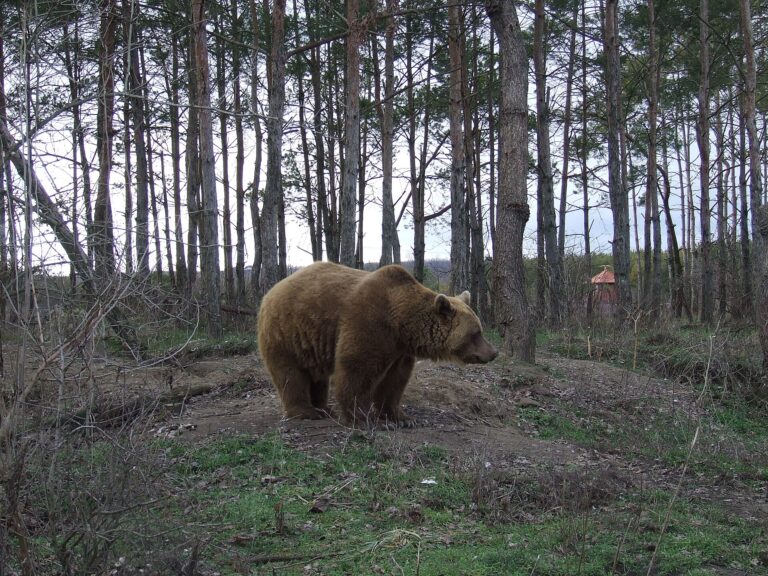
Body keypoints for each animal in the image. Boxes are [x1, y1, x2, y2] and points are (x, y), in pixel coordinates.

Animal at [257, 262, 498, 427]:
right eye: (476, 332)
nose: (494, 352)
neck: (402, 324)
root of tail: (272, 290)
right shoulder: (370, 324)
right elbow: (357, 370)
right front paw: (362, 417)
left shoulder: (400, 350)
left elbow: (394, 381)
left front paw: (400, 417)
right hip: (286, 332)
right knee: (290, 374)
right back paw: (306, 412)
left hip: (310, 342)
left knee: (317, 376)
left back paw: (324, 408)